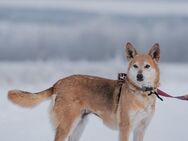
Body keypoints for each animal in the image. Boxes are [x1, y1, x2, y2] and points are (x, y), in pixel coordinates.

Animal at [7, 42, 160, 141]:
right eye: (135, 66)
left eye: (147, 66)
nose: (139, 76)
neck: (142, 93)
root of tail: (58, 83)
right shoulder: (125, 128)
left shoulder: (140, 129)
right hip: (66, 125)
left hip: (78, 126)